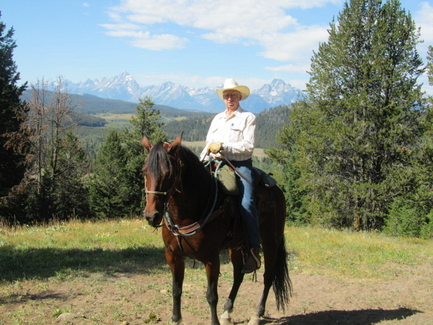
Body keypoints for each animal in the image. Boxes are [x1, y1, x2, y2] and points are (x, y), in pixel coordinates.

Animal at [142, 134, 290, 324]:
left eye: (168, 173)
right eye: (144, 171)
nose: (151, 215)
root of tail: (276, 189)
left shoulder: (211, 258)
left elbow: (211, 295)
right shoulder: (173, 256)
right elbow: (176, 290)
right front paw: (175, 319)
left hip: (271, 241)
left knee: (268, 277)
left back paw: (257, 315)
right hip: (237, 246)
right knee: (238, 275)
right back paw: (227, 312)